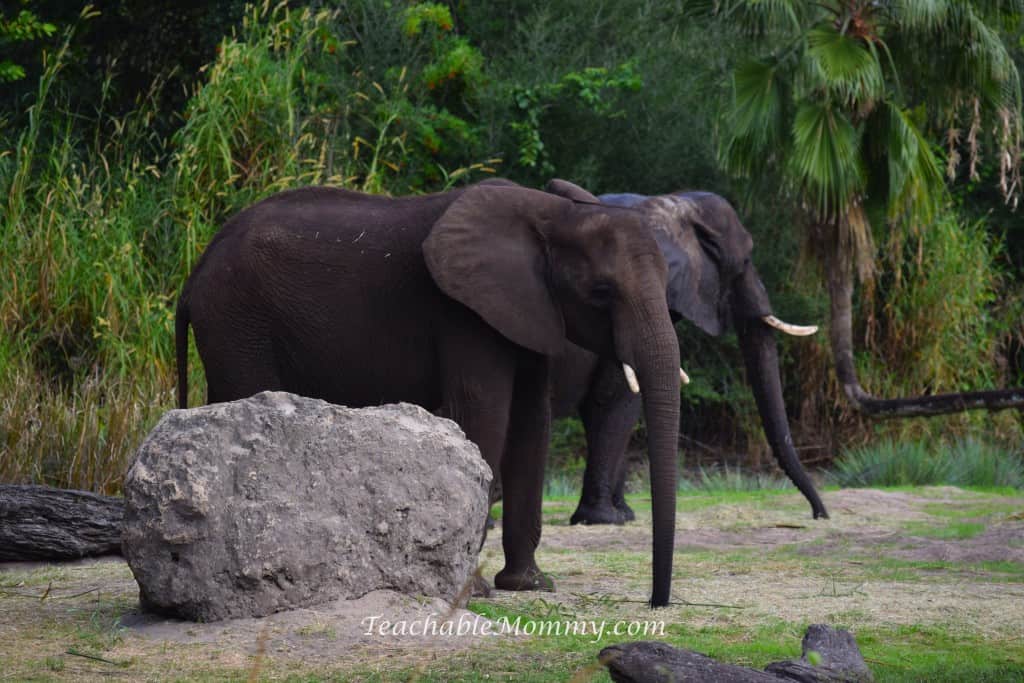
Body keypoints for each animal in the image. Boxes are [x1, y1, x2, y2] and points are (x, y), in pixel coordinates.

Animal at [174, 179, 688, 606]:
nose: (655, 602)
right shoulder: (463, 312)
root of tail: (196, 270)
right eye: (601, 292)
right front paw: (474, 591)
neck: (554, 215)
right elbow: (485, 413)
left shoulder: (532, 311)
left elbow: (531, 422)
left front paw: (529, 586)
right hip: (238, 318)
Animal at [548, 180, 827, 524]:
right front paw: (605, 519)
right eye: (745, 261)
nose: (818, 514)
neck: (674, 204)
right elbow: (616, 400)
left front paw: (624, 514)